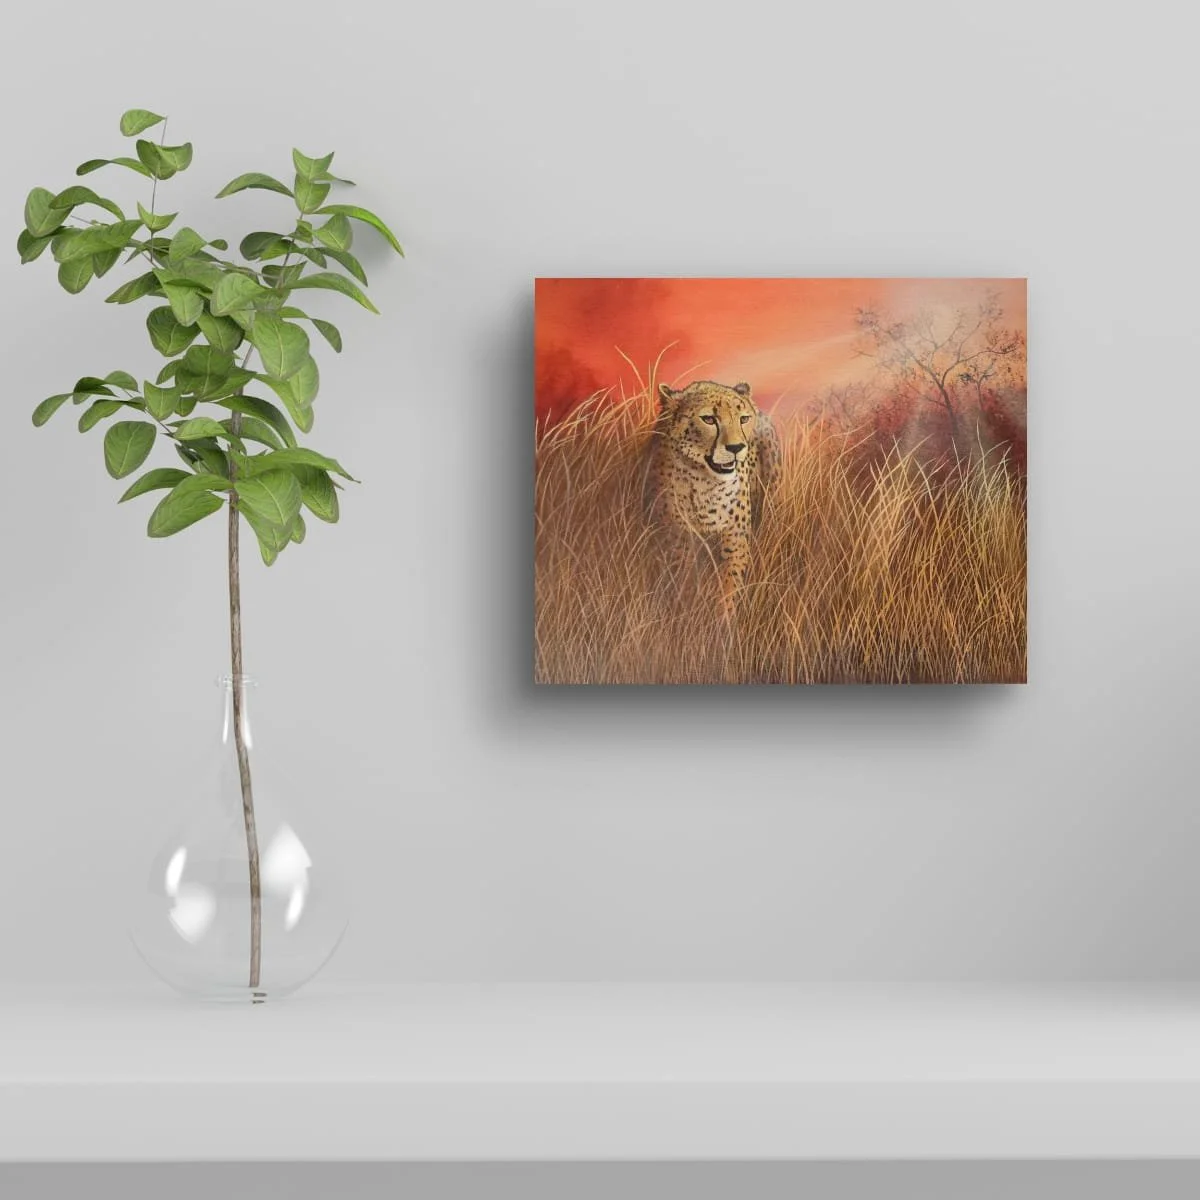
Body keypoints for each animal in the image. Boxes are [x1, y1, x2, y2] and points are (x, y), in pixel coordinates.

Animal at [643, 379, 782, 613]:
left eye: (743, 419)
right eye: (708, 419)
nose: (736, 447)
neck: (705, 482)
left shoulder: (735, 541)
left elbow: (730, 584)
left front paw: (722, 616)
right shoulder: (679, 539)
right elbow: (686, 580)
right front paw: (688, 611)